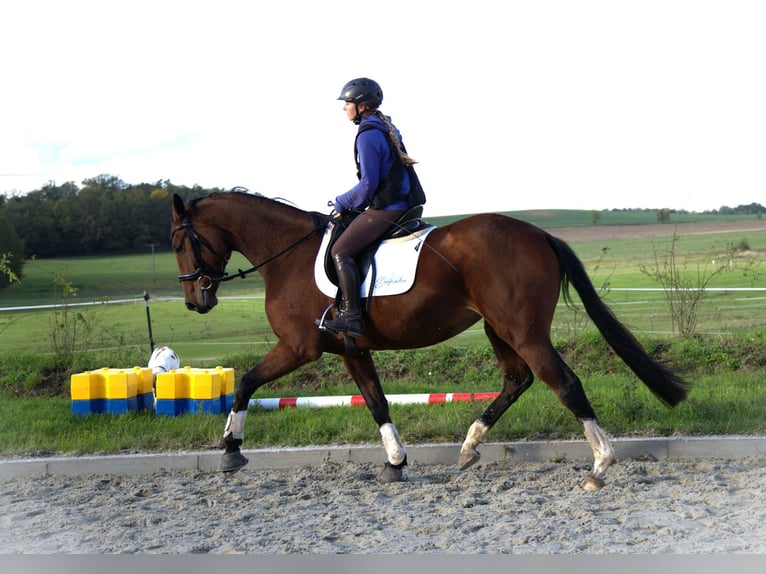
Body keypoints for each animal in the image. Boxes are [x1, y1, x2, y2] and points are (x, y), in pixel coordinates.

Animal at [170, 192, 688, 490]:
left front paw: (231, 450)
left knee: (563, 382)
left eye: (178, 242)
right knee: (517, 381)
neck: (287, 255)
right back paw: (470, 445)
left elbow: (245, 384)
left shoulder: (300, 347)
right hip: (498, 328)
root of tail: (540, 233)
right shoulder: (352, 349)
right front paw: (396, 462)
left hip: (521, 330)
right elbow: (376, 402)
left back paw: (600, 466)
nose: (196, 300)